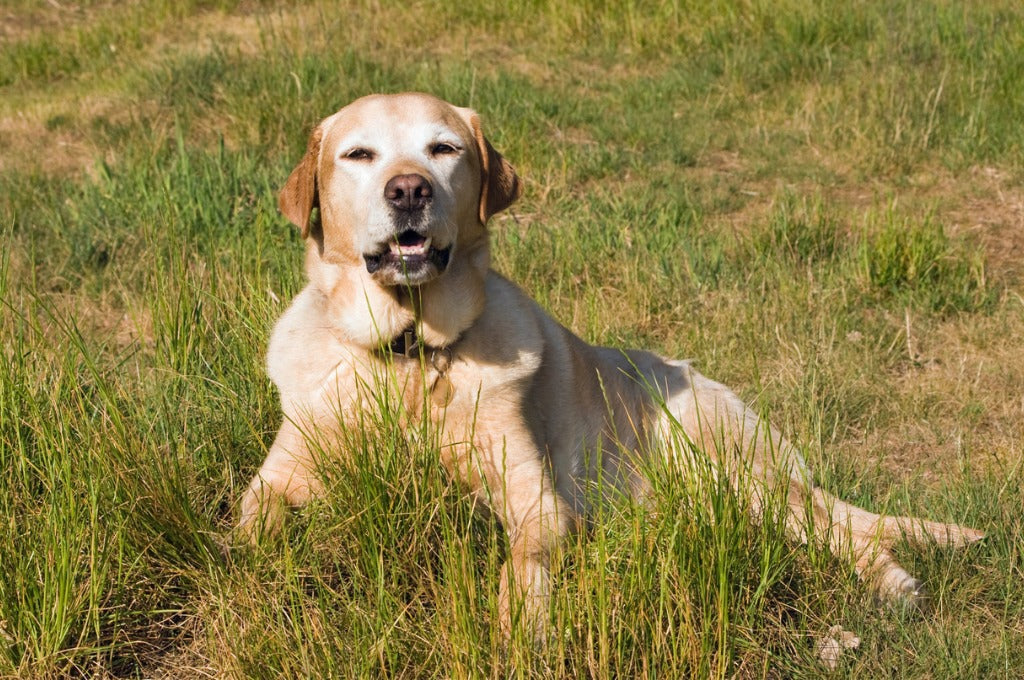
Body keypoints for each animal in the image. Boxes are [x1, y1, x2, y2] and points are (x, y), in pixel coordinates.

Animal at [239, 91, 983, 639]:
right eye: (358, 154)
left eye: (443, 149)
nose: (409, 190)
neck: (411, 354)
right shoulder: (281, 477)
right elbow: (251, 526)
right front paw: (257, 574)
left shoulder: (536, 501)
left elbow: (524, 561)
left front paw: (520, 626)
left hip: (728, 473)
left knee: (845, 532)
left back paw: (897, 585)